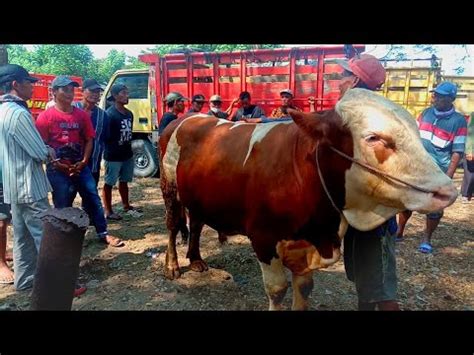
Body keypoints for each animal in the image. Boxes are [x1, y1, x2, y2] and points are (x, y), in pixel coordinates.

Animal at [157, 89, 458, 312]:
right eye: (373, 138)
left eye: (418, 132)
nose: (447, 191)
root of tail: (186, 117)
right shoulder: (263, 239)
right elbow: (278, 290)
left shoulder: (305, 248)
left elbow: (303, 289)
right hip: (169, 189)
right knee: (172, 226)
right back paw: (172, 266)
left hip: (197, 197)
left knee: (196, 224)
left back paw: (196, 259)